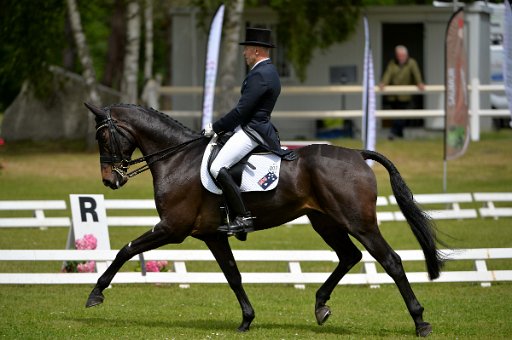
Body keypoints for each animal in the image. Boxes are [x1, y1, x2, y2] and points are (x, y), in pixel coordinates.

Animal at [84, 102, 444, 336]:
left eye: (102, 137)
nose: (109, 180)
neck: (176, 158)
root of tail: (357, 154)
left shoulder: (173, 228)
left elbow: (127, 249)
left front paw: (96, 293)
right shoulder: (213, 235)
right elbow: (233, 275)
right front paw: (246, 320)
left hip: (359, 223)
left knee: (391, 261)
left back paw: (421, 321)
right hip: (325, 221)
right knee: (349, 256)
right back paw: (321, 305)